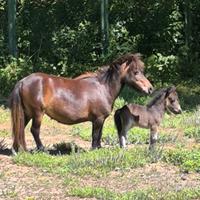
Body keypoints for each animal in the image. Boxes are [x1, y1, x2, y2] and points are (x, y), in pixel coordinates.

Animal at [9, 53, 153, 153]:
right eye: (136, 72)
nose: (150, 89)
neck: (103, 88)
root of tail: (22, 81)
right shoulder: (98, 119)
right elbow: (95, 135)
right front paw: (94, 149)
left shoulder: (100, 120)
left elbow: (99, 134)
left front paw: (98, 148)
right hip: (37, 114)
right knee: (34, 130)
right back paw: (41, 149)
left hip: (27, 113)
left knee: (20, 128)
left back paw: (17, 149)